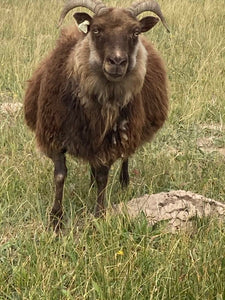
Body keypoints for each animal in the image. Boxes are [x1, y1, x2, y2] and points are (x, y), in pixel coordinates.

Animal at [24, 0, 169, 231]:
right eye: (96, 30)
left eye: (135, 32)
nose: (117, 62)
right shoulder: (55, 136)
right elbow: (60, 176)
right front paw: (56, 220)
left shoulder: (110, 142)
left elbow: (103, 178)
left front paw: (99, 215)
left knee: (125, 157)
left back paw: (124, 182)